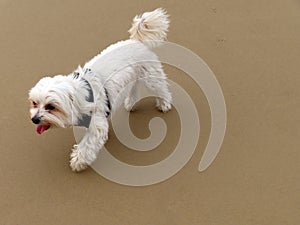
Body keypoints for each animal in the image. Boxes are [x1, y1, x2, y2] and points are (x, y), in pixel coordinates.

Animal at [29, 7, 173, 171]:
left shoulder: (96, 124)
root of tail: (136, 41)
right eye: (34, 103)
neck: (81, 96)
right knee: (134, 89)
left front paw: (78, 161)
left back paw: (164, 104)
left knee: (162, 89)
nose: (34, 119)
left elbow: (88, 144)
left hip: (151, 77)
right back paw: (131, 103)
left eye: (51, 107)